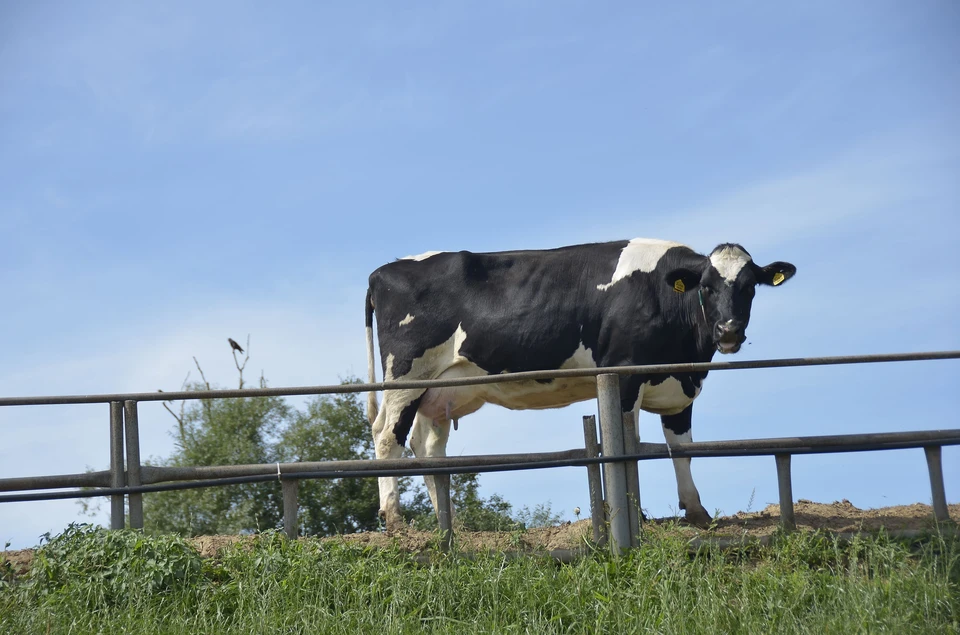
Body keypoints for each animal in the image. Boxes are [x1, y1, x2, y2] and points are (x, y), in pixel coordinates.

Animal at [364, 238, 792, 532]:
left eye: (749, 287)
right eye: (706, 286)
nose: (729, 331)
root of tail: (382, 271)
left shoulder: (680, 386)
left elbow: (682, 449)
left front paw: (697, 512)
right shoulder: (623, 374)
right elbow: (627, 446)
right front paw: (634, 515)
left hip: (439, 391)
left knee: (427, 449)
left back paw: (448, 523)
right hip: (405, 376)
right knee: (387, 438)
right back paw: (395, 520)